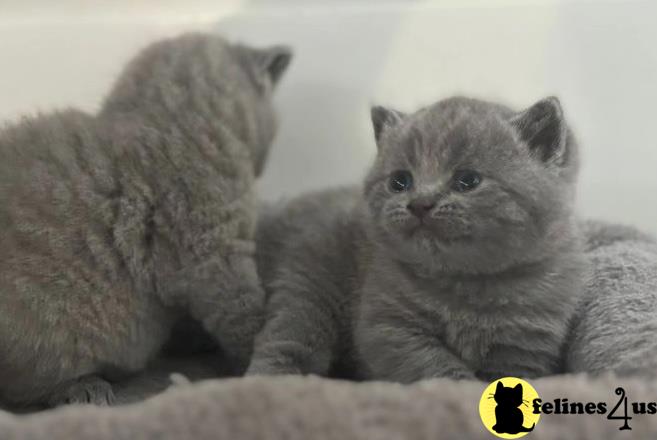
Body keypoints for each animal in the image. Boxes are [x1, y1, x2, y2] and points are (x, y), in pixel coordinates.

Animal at [247, 95, 584, 382]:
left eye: (468, 180)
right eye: (400, 181)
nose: (420, 203)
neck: (471, 284)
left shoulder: (524, 347)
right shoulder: (389, 328)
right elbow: (437, 367)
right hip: (309, 287)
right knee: (287, 338)